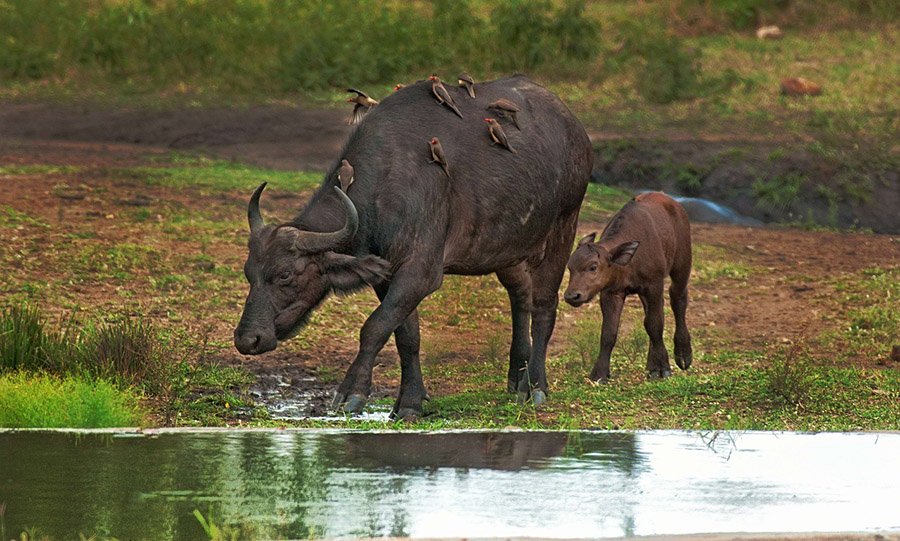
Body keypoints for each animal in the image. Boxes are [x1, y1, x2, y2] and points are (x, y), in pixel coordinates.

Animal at [234, 75, 593, 418]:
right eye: (249, 273)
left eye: (285, 275)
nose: (248, 339)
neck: (385, 185)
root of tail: (575, 129)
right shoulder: (386, 275)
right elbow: (406, 335)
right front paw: (410, 402)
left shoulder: (420, 272)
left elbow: (374, 327)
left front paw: (351, 393)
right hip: (508, 248)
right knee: (520, 296)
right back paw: (517, 377)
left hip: (564, 226)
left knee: (544, 305)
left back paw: (535, 386)